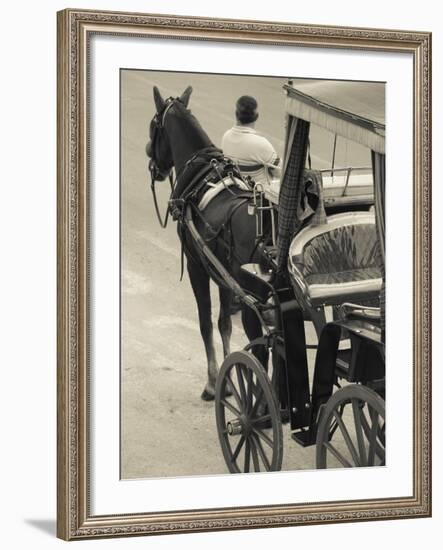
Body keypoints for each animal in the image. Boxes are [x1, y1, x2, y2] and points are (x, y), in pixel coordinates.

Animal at [146, 87, 266, 406]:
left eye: (153, 127)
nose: (151, 158)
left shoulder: (197, 265)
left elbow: (205, 323)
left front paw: (215, 384)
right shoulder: (224, 275)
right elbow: (224, 323)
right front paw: (230, 379)